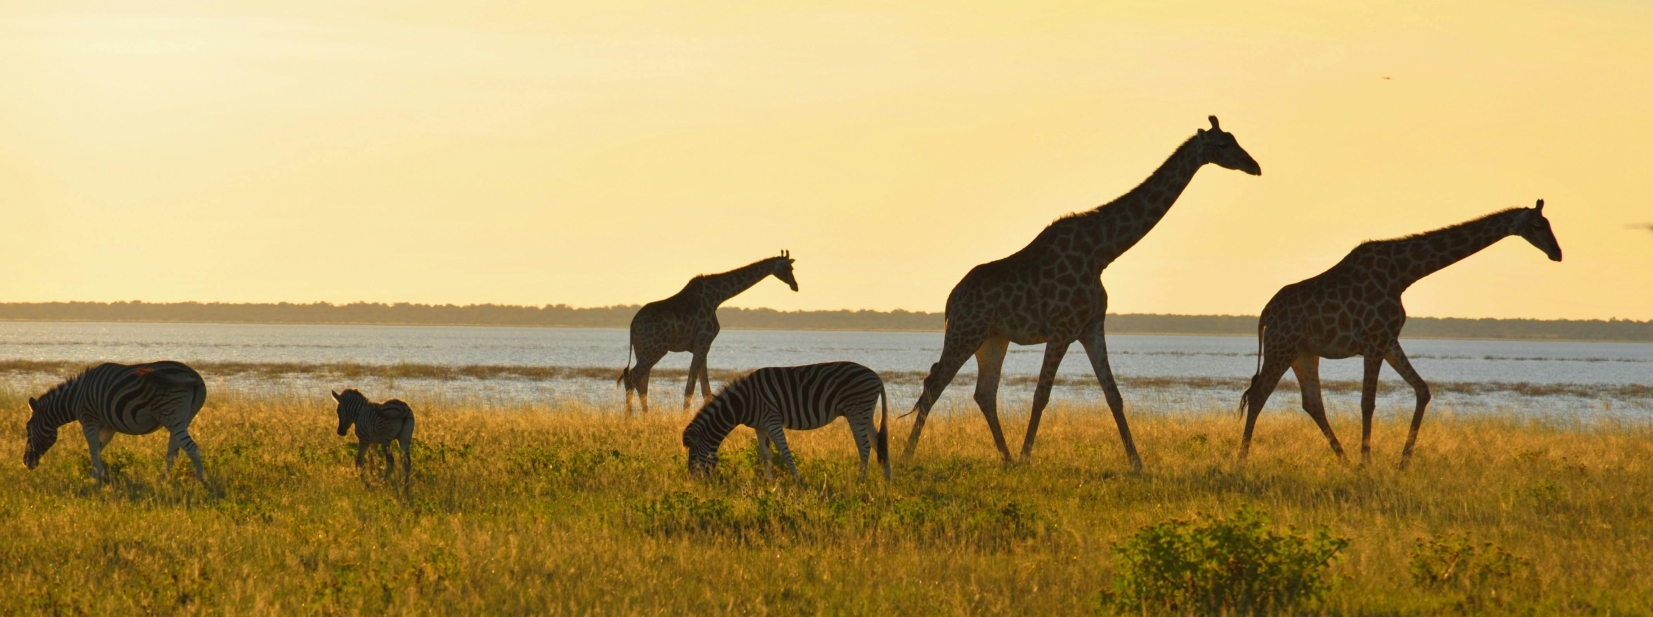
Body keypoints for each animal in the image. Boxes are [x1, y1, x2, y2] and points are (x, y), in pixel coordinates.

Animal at [619, 252, 799, 413]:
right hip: (656, 349)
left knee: (642, 382)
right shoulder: (703, 342)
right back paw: (629, 418)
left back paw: (645, 416)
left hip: (641, 349)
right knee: (633, 376)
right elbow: (691, 387)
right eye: (789, 268)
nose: (795, 286)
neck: (717, 297)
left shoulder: (702, 346)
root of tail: (633, 325)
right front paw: (685, 418)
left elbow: (705, 390)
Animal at [902, 116, 1262, 469]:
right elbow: (1041, 394)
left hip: (993, 338)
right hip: (967, 332)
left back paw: (1004, 458)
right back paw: (909, 455)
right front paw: (1027, 457)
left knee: (983, 392)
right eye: (1223, 144)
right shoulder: (1062, 329)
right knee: (935, 384)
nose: (1255, 165)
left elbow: (1113, 394)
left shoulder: (1091, 327)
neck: (1101, 252)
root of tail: (950, 301)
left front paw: (1137, 462)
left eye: (1235, 139)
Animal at [1237, 200, 1562, 469]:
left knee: (1311, 403)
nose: (1557, 253)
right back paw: (1242, 459)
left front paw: (1403, 462)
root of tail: (1265, 314)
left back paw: (1343, 459)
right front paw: (1367, 463)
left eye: (1549, 224)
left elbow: (1422, 389)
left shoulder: (1389, 341)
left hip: (1304, 352)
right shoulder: (1373, 340)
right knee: (1259, 393)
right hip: (1282, 346)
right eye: (1537, 226)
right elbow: (1368, 402)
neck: (1403, 274)